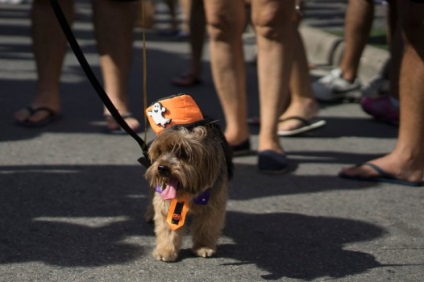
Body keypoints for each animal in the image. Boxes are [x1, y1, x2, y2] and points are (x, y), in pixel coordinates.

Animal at [145, 95, 232, 262]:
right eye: (160, 150)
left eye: (183, 152)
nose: (162, 168)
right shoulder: (166, 202)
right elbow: (167, 228)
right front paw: (165, 250)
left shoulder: (212, 203)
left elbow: (206, 226)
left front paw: (203, 247)